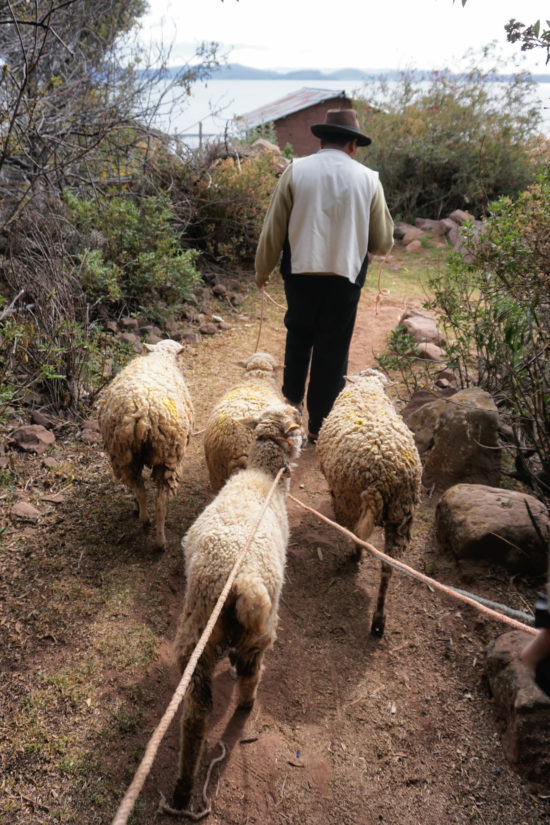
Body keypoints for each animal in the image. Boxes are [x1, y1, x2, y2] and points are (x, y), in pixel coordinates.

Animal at [98, 338, 195, 552]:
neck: (161, 357)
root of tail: (143, 409)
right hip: (168, 457)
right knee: (159, 501)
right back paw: (159, 540)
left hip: (123, 455)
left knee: (139, 488)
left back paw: (143, 518)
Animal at [171, 402, 302, 808]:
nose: (300, 413)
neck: (262, 476)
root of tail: (240, 579)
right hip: (260, 630)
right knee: (250, 674)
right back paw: (246, 705)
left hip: (197, 636)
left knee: (195, 715)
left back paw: (184, 786)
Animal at [316, 368, 420, 636]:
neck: (368, 389)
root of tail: (380, 476)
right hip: (401, 515)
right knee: (388, 567)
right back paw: (378, 620)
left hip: (350, 499)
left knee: (356, 534)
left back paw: (355, 556)